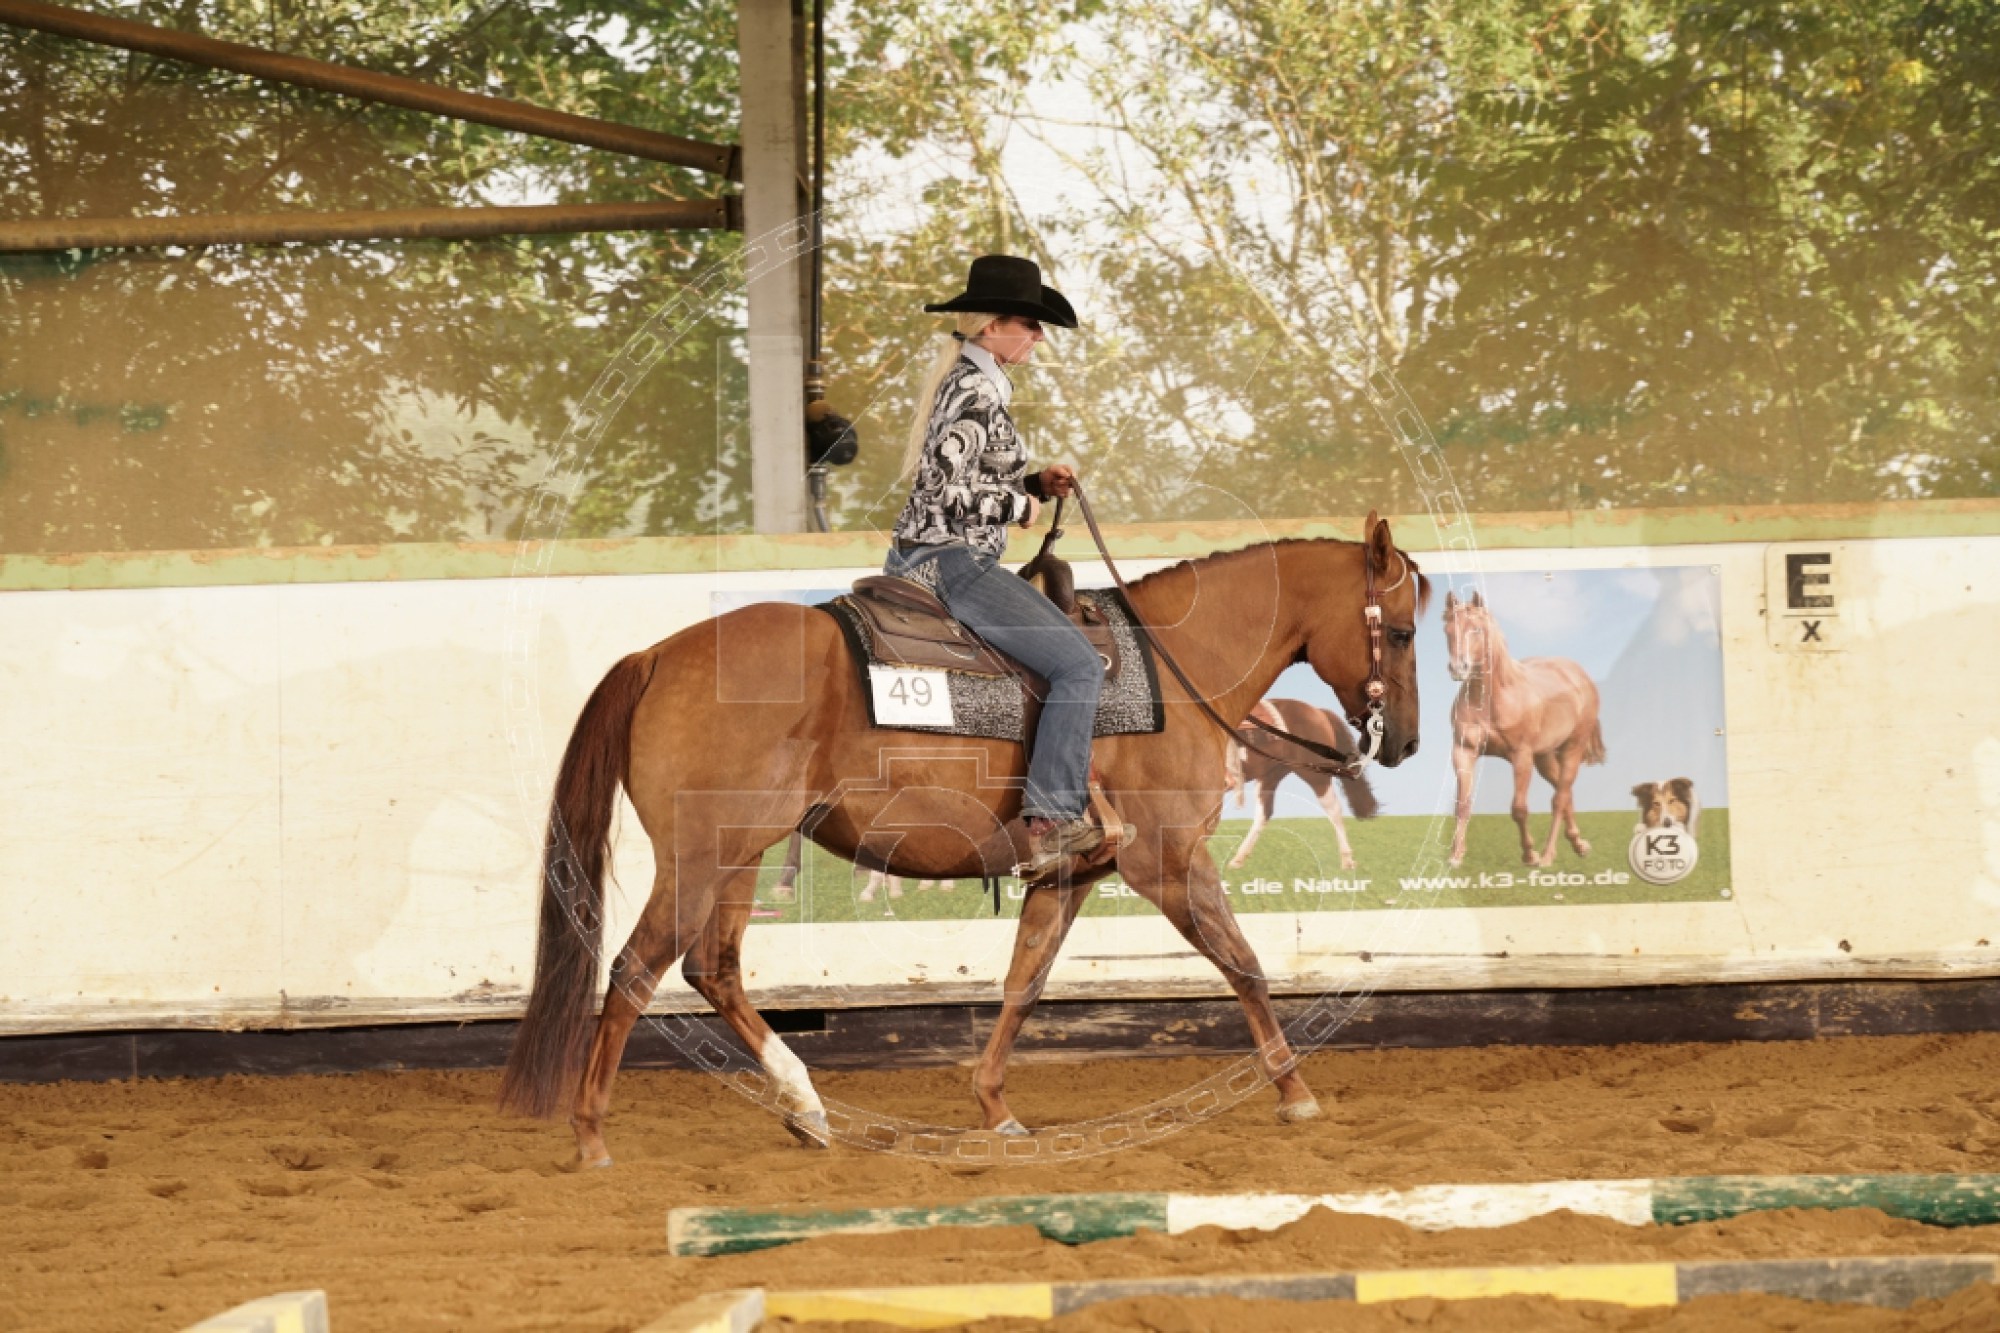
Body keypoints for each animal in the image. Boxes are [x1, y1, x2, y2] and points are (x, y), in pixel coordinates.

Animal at [1224, 699, 1380, 870]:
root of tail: (1319, 711)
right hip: (1270, 775)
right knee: (1263, 813)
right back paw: (1238, 859)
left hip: (1315, 776)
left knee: (1334, 810)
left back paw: (1347, 860)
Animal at [1441, 590, 1605, 868]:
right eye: (1448, 630)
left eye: (1476, 629)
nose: (1457, 669)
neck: (1494, 700)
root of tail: (1580, 676)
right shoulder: (1463, 751)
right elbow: (1462, 805)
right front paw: (1455, 857)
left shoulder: (1521, 756)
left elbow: (1519, 809)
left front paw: (1530, 855)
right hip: (1545, 757)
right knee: (1565, 794)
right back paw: (1578, 844)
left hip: (1571, 749)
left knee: (1559, 798)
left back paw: (1548, 855)